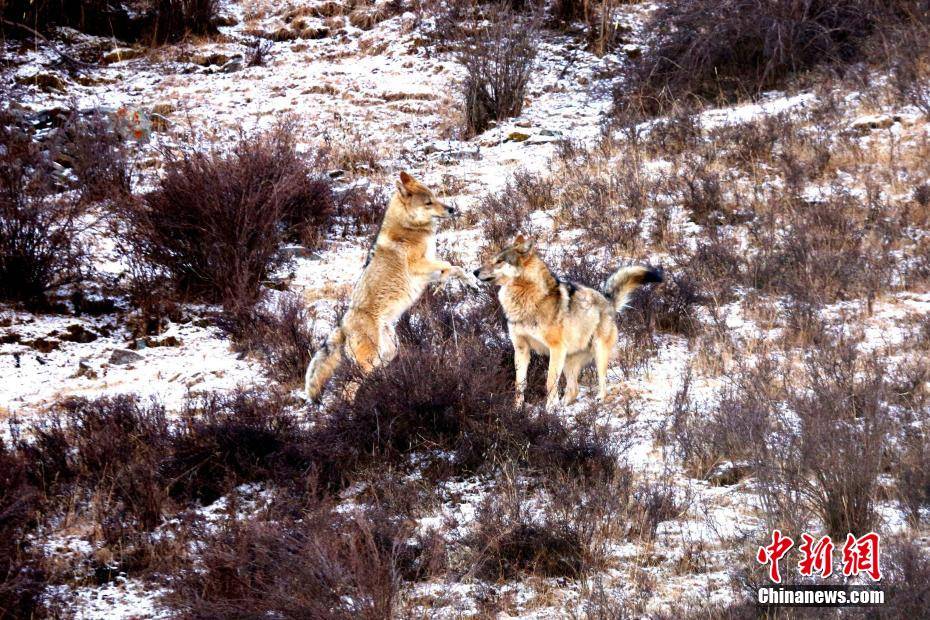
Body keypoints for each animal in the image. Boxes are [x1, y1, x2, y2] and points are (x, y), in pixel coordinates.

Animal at [306, 172, 478, 400]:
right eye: (428, 202)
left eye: (435, 197)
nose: (451, 209)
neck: (409, 227)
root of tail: (342, 326)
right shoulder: (419, 266)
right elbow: (450, 265)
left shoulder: (426, 271)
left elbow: (455, 269)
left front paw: (470, 284)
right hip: (371, 361)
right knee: (347, 389)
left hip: (388, 354)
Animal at [474, 235, 664, 410]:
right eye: (492, 259)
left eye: (499, 261)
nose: (475, 271)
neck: (527, 297)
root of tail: (608, 301)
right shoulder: (521, 348)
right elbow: (519, 384)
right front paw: (517, 410)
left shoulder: (556, 348)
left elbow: (550, 381)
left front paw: (549, 410)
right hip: (568, 361)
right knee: (574, 389)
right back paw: (563, 407)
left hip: (596, 352)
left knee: (602, 382)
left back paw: (597, 400)